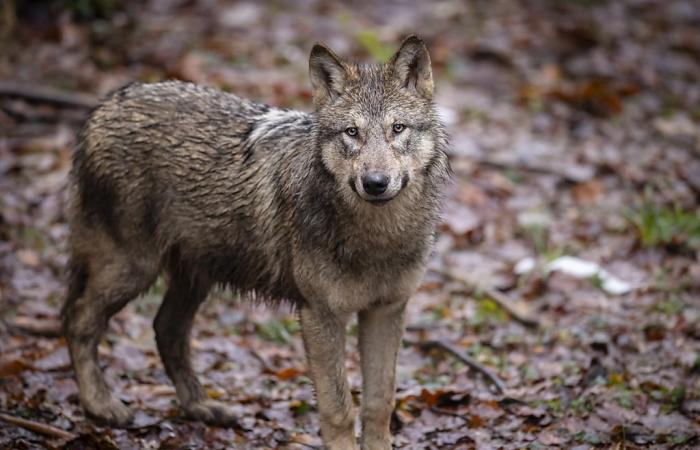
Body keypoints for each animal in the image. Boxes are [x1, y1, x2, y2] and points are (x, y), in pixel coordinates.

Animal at [63, 36, 452, 450]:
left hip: (195, 277)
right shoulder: (320, 314)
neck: (378, 238)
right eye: (351, 132)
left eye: (398, 128)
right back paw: (101, 406)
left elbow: (380, 403)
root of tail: (103, 106)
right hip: (133, 270)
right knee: (77, 321)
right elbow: (339, 409)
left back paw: (202, 407)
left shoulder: (386, 311)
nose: (375, 183)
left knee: (165, 330)